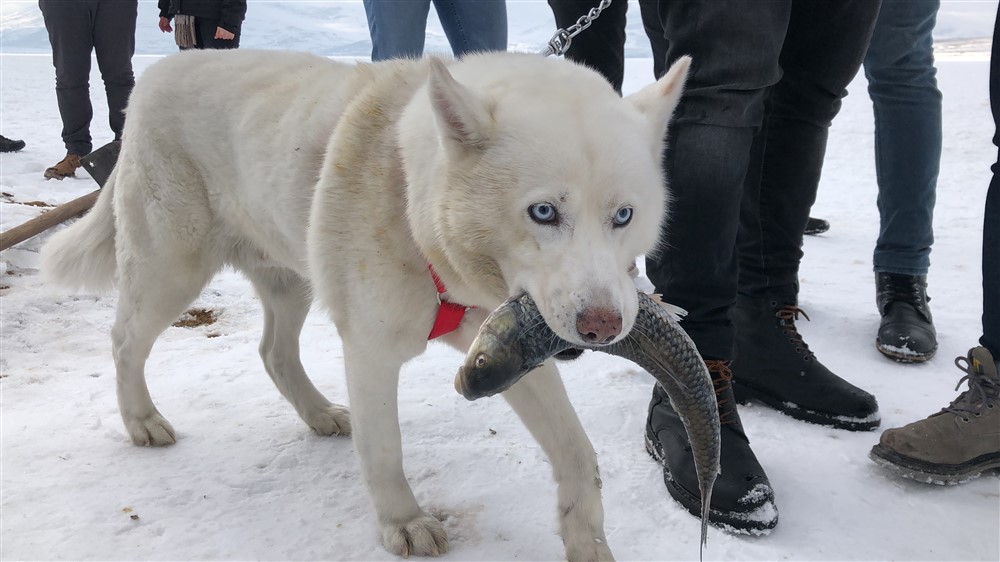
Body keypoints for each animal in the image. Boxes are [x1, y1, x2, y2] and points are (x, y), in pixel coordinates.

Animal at [43, 50, 692, 556]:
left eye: (623, 216)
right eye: (542, 212)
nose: (603, 325)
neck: (415, 207)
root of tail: (158, 71)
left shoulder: (507, 348)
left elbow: (579, 454)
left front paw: (590, 545)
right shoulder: (373, 351)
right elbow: (384, 450)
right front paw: (403, 523)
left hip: (290, 280)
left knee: (273, 352)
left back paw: (318, 414)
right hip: (170, 270)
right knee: (125, 340)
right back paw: (142, 420)